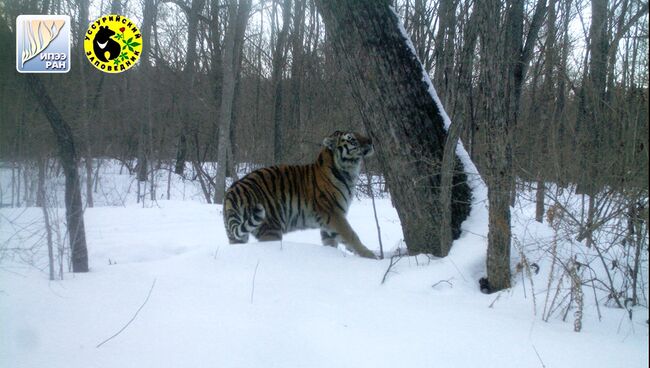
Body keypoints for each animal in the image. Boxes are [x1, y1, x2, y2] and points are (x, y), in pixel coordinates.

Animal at [221, 132, 374, 258]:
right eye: (352, 139)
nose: (370, 140)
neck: (348, 172)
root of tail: (233, 191)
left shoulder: (327, 223)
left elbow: (330, 242)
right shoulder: (333, 214)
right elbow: (351, 235)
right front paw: (370, 256)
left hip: (236, 235)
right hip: (270, 228)